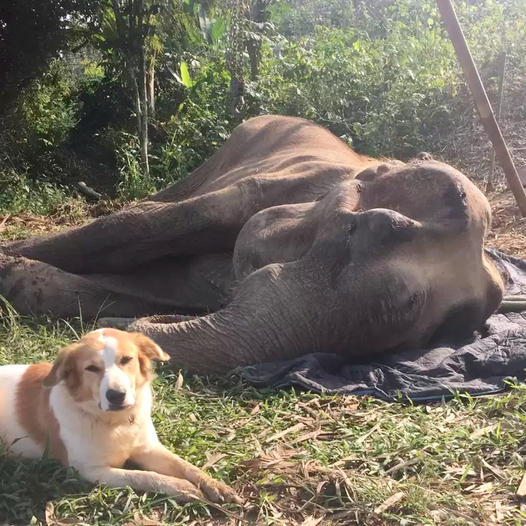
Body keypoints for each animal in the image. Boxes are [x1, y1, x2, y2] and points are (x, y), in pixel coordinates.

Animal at [0, 114, 506, 376]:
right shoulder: (272, 188)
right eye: (362, 231)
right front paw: (10, 263)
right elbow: (138, 228)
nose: (128, 334)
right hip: (229, 149)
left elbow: (152, 284)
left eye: (429, 334)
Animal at [0, 328, 242, 506]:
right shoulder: (90, 470)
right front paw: (183, 488)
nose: (116, 395)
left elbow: (186, 466)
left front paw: (214, 485)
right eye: (91, 368)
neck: (116, 423)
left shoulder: (148, 448)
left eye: (126, 359)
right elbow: (142, 476)